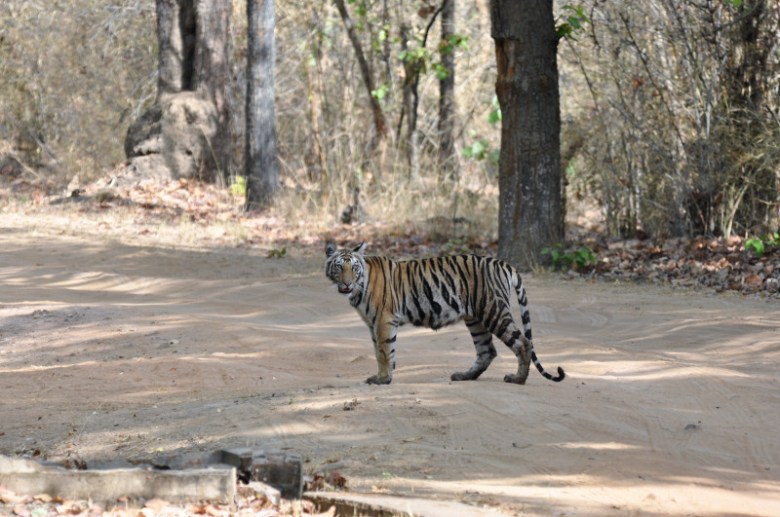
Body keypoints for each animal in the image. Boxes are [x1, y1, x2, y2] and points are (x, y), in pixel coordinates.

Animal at [324, 241, 568, 382]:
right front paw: (386, 374)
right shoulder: (374, 323)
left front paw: (383, 378)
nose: (346, 284)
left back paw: (518, 378)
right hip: (475, 318)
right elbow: (381, 351)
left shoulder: (384, 320)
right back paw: (465, 375)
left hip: (494, 310)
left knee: (523, 342)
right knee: (487, 350)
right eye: (339, 267)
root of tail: (504, 264)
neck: (360, 286)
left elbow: (383, 351)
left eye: (354, 267)